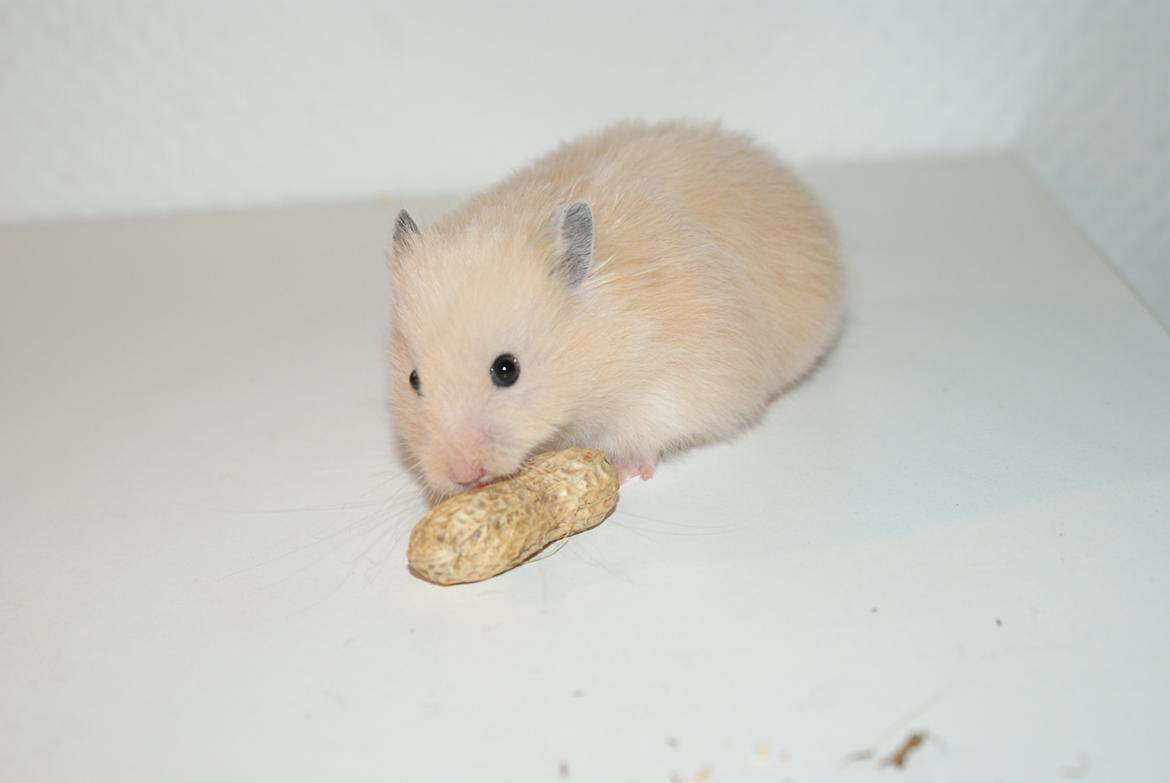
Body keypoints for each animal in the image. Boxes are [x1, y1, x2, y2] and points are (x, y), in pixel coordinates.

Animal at [388, 121, 843, 498]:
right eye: (413, 380)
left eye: (506, 369)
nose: (463, 474)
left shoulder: (676, 383)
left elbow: (649, 431)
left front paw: (625, 473)